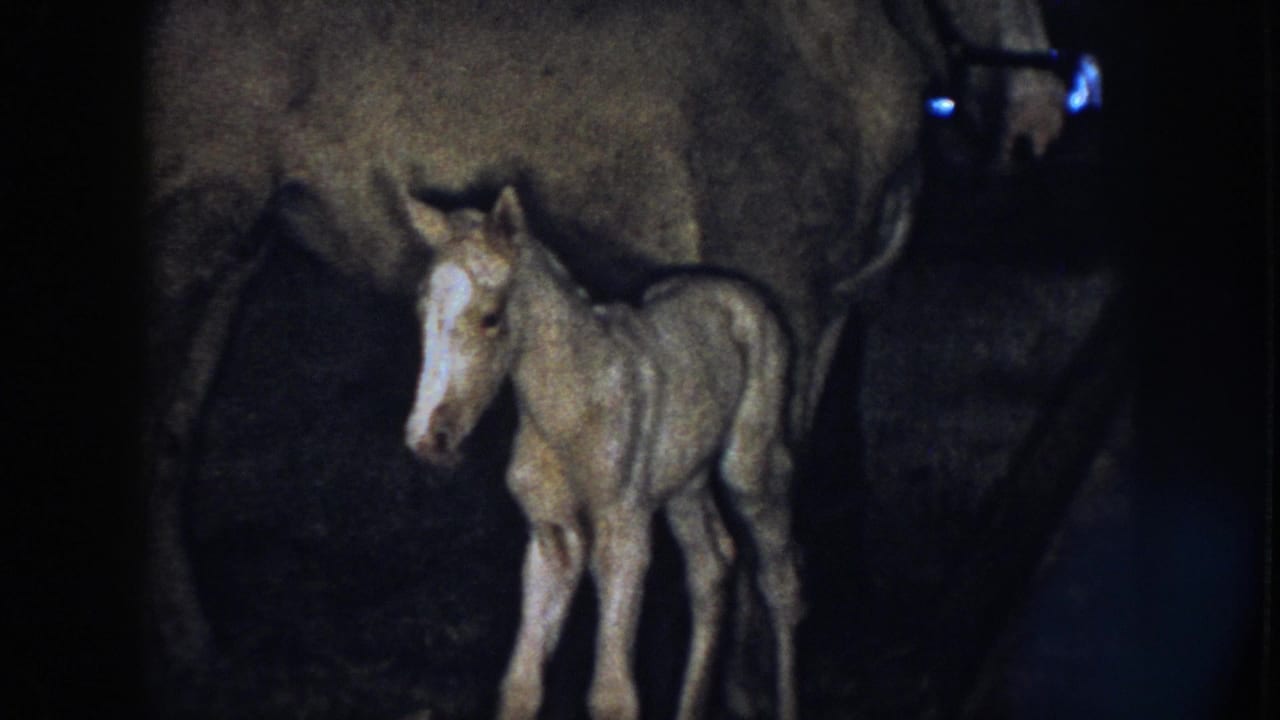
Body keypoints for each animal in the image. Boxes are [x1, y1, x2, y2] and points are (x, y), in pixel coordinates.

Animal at [404, 186, 801, 720]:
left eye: (490, 318)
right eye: (422, 312)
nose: (427, 438)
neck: (574, 406)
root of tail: (735, 290)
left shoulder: (623, 533)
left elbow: (612, 694)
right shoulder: (553, 536)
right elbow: (522, 683)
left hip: (750, 465)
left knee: (780, 580)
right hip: (685, 482)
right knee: (711, 565)